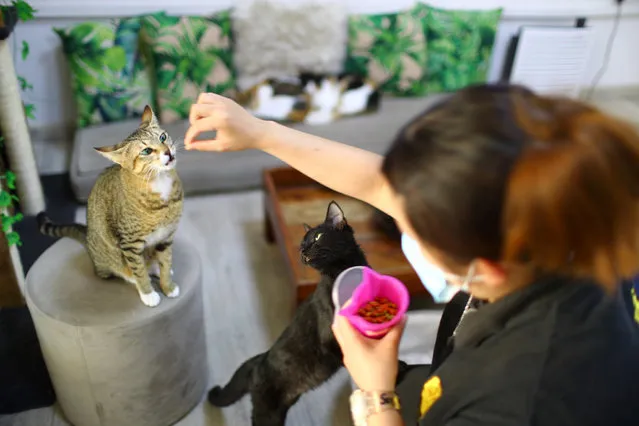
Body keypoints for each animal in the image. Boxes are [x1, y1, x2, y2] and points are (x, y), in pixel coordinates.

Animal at [36, 105, 184, 306]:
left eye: (162, 137)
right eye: (146, 151)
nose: (168, 151)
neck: (159, 182)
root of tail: (88, 238)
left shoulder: (166, 236)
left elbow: (166, 261)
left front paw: (167, 285)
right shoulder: (130, 243)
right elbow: (139, 270)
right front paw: (148, 293)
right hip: (110, 259)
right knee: (123, 269)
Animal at [209, 202, 370, 426]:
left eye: (318, 237)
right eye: (302, 244)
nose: (303, 251)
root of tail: (260, 359)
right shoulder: (331, 337)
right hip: (267, 412)